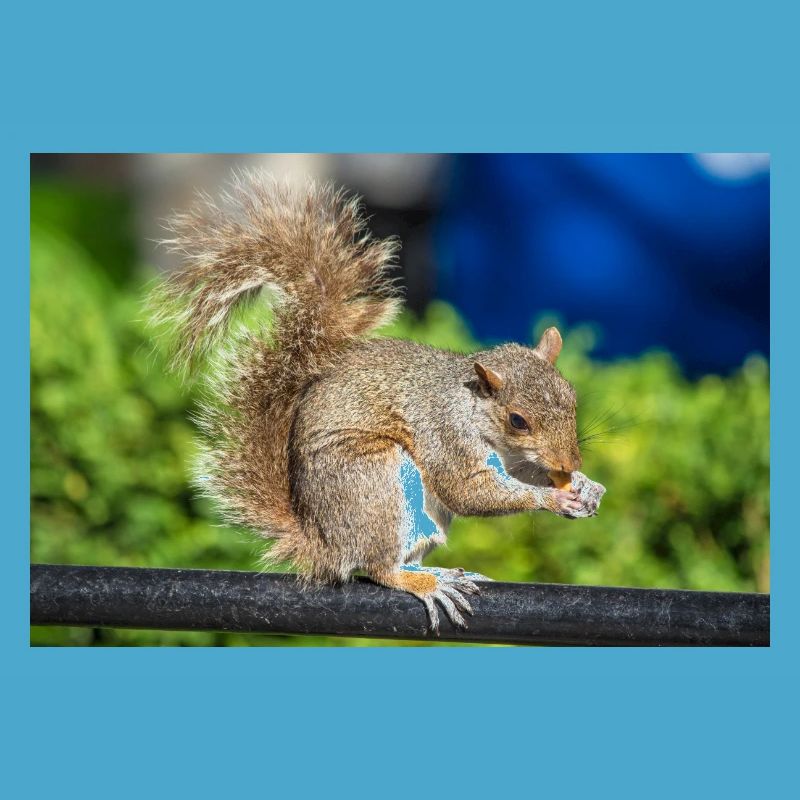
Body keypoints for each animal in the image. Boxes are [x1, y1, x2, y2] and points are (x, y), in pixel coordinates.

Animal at [149, 170, 605, 633]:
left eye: (572, 399)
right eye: (517, 420)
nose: (571, 462)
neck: (474, 410)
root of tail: (323, 543)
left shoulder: (512, 459)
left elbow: (519, 475)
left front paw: (585, 486)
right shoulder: (445, 435)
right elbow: (467, 491)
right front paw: (554, 498)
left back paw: (437, 573)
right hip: (375, 481)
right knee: (378, 568)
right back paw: (424, 583)